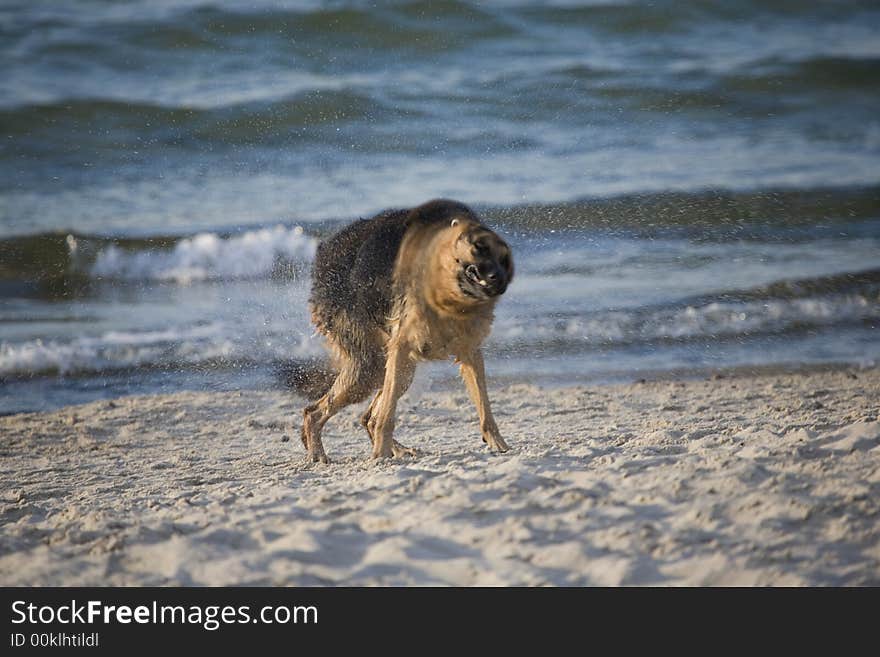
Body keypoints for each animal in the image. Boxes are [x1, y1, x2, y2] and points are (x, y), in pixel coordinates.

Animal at [300, 200, 512, 462]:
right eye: (478, 249)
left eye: (504, 258)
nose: (498, 279)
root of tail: (324, 253)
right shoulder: (402, 346)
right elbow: (387, 416)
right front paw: (379, 454)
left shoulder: (469, 350)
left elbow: (485, 409)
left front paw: (500, 445)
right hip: (371, 365)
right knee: (315, 412)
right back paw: (321, 454)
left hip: (394, 367)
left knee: (368, 417)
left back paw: (395, 451)